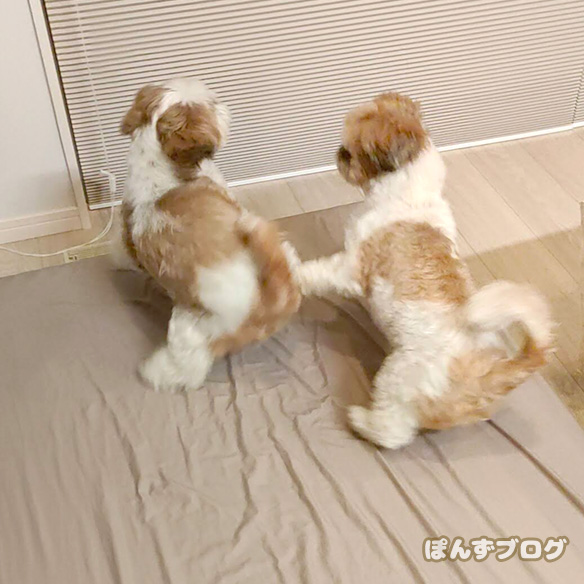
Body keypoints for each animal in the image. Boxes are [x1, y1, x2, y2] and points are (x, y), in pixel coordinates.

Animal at [117, 78, 301, 392]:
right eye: (212, 104)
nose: (224, 105)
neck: (160, 170)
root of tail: (265, 302)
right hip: (192, 327)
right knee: (190, 369)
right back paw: (158, 371)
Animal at [296, 93, 553, 449]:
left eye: (350, 151)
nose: (338, 154)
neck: (409, 192)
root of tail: (493, 374)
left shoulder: (352, 266)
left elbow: (321, 272)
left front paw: (295, 272)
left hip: (400, 374)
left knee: (392, 431)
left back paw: (362, 422)